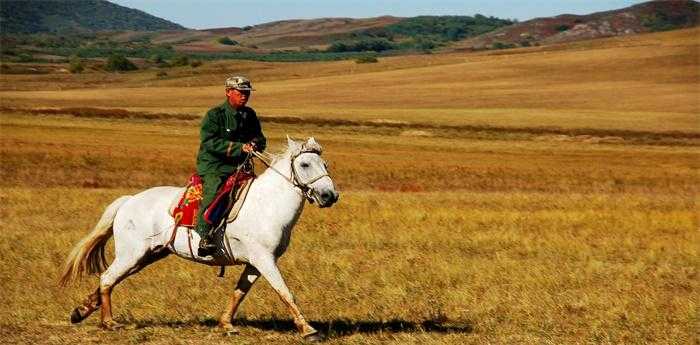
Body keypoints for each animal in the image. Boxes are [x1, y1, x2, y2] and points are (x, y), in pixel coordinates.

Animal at [58, 136, 338, 340]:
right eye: (304, 165)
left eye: (325, 165)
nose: (329, 196)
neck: (268, 204)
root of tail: (129, 201)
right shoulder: (265, 260)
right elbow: (285, 292)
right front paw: (308, 330)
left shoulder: (256, 263)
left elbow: (239, 292)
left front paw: (226, 324)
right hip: (132, 254)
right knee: (107, 278)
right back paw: (109, 322)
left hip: (148, 255)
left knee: (111, 279)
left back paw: (81, 311)